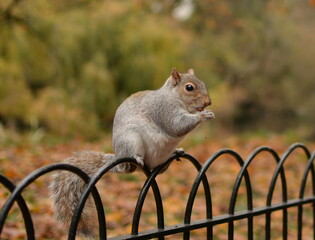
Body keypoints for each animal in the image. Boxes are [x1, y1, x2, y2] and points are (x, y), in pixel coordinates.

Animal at [49, 68, 216, 237]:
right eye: (189, 87)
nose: (208, 102)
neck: (173, 96)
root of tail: (119, 157)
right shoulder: (163, 110)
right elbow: (176, 125)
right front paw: (203, 115)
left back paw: (175, 152)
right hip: (130, 140)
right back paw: (137, 158)